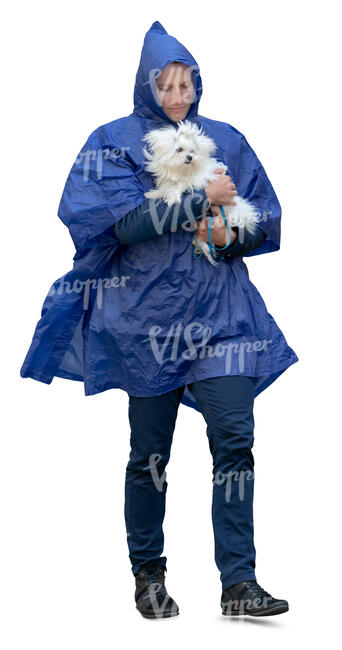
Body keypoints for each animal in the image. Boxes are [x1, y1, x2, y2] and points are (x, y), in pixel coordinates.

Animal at [142, 120, 260, 264]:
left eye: (192, 151)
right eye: (179, 149)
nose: (190, 157)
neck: (183, 171)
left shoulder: (199, 179)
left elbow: (181, 185)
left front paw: (172, 197)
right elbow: (166, 187)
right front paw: (154, 194)